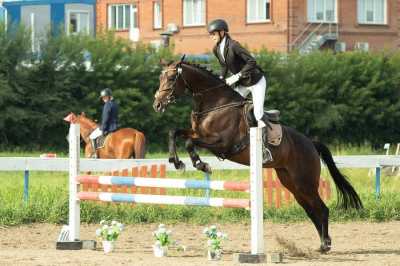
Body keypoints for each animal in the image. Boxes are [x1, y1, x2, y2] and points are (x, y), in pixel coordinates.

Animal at [152, 58, 362, 251]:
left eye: (171, 78)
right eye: (160, 77)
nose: (157, 104)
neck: (214, 104)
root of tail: (311, 143)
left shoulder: (222, 144)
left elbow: (189, 143)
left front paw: (201, 164)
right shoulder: (197, 133)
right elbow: (174, 133)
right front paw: (176, 162)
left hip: (305, 182)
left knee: (321, 209)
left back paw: (325, 244)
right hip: (291, 182)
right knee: (311, 210)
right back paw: (322, 242)